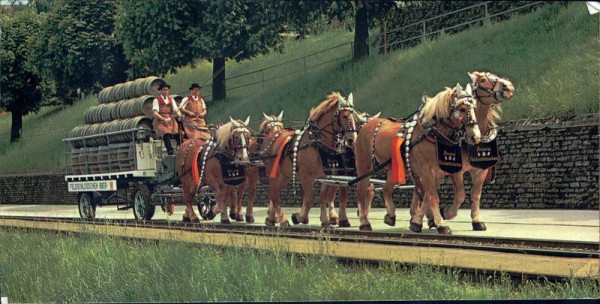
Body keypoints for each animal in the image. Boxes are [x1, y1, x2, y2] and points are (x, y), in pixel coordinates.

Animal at [262, 91, 356, 227]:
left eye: (354, 115)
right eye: (344, 116)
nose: (352, 138)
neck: (317, 142)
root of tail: (270, 136)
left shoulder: (326, 175)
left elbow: (323, 197)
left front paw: (325, 220)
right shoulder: (306, 176)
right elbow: (310, 199)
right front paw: (299, 217)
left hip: (285, 175)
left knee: (274, 193)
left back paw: (274, 218)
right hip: (273, 173)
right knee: (273, 194)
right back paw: (282, 220)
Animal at [354, 83, 480, 233]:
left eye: (474, 108)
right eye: (462, 109)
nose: (475, 136)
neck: (431, 133)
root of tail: (365, 125)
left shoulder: (438, 173)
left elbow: (427, 196)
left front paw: (419, 221)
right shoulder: (426, 171)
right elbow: (432, 196)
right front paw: (441, 224)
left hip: (395, 167)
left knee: (386, 189)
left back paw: (390, 215)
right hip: (364, 165)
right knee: (361, 190)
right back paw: (364, 221)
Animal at [436, 72, 516, 232]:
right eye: (483, 80)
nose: (508, 87)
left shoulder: (481, 171)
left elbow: (476, 195)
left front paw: (477, 220)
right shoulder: (456, 171)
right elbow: (460, 195)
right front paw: (446, 212)